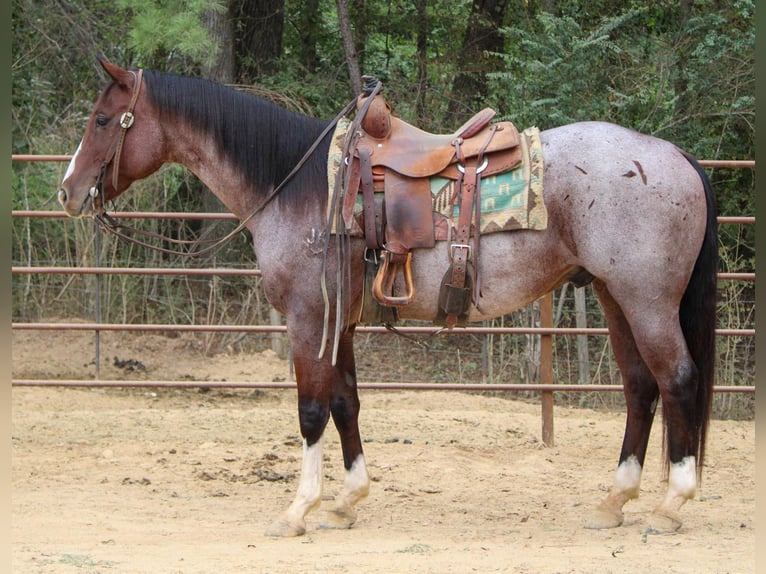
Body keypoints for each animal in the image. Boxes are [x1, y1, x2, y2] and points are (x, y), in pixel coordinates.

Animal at [55, 60, 720, 536]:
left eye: (101, 121)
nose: (66, 191)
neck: (296, 187)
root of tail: (674, 155)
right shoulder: (340, 322)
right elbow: (346, 403)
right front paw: (347, 501)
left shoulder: (309, 317)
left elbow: (311, 411)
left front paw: (298, 509)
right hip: (612, 297)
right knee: (640, 388)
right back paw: (614, 501)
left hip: (645, 301)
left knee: (677, 379)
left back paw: (671, 505)